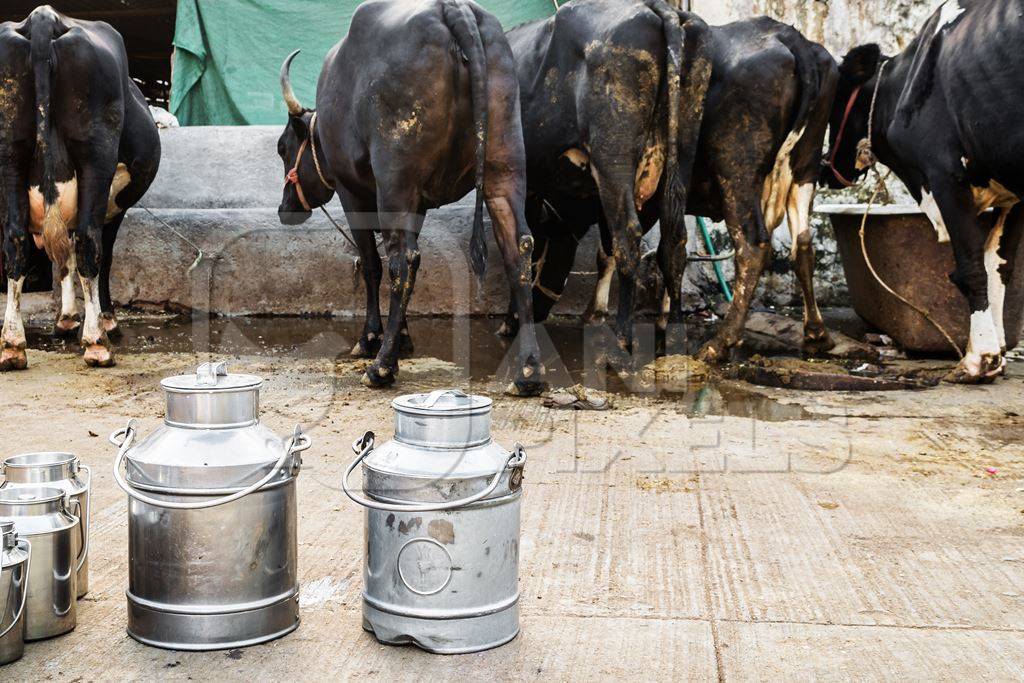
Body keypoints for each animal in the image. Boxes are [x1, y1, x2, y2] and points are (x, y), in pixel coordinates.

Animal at [0, 5, 159, 368]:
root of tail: (44, 16)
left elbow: (64, 258)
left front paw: (67, 316)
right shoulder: (114, 205)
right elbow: (100, 255)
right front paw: (102, 318)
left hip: (8, 154)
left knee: (16, 242)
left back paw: (12, 345)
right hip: (95, 159)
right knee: (89, 242)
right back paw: (97, 342)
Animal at [272, 0, 544, 395]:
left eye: (282, 147)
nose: (285, 207)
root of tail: (454, 10)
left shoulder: (355, 194)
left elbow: (372, 263)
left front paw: (372, 338)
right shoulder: (418, 202)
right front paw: (400, 335)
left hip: (395, 181)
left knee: (403, 259)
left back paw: (382, 368)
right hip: (504, 169)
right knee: (518, 249)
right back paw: (529, 372)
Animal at [516, 6, 835, 362]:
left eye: (537, 253)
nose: (517, 319)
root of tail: (789, 36)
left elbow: (614, 248)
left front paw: (598, 315)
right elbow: (665, 248)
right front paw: (666, 321)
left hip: (732, 168)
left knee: (750, 245)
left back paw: (717, 342)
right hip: (804, 166)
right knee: (802, 243)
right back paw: (816, 333)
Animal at [827, 0, 1019, 385]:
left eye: (836, 102)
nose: (826, 168)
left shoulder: (944, 174)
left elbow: (972, 266)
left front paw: (980, 358)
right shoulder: (1014, 196)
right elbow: (999, 265)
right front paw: (999, 352)